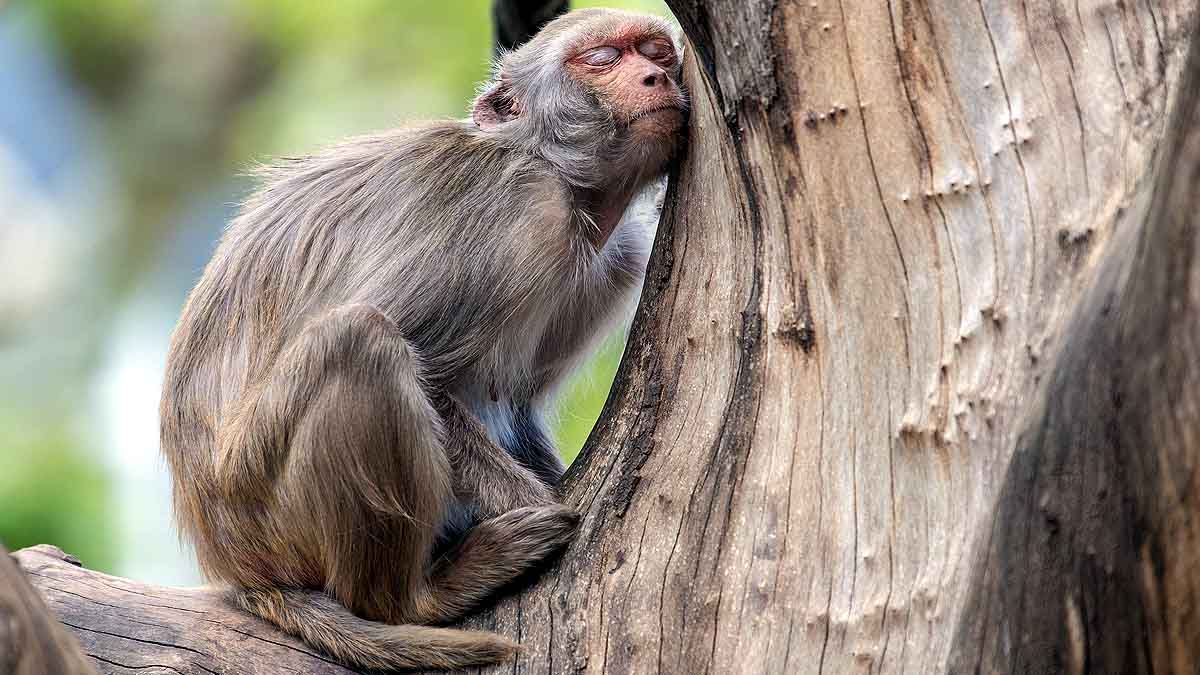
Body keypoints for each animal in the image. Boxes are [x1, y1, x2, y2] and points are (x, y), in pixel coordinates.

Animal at [158, 8, 687, 672]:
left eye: (657, 53)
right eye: (601, 60)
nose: (653, 76)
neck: (561, 180)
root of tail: (235, 565)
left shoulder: (616, 259)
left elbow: (515, 403)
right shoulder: (513, 211)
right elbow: (427, 369)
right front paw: (543, 504)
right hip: (263, 501)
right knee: (360, 340)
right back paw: (418, 599)